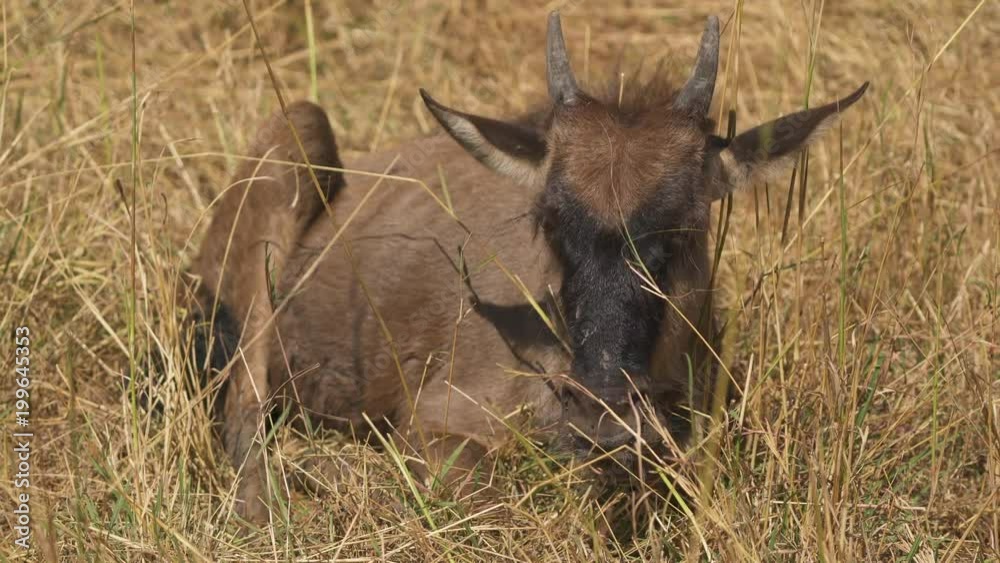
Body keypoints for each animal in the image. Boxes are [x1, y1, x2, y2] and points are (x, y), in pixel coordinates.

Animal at [185, 12, 867, 523]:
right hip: (293, 143)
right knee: (244, 419)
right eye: (549, 220)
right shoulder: (432, 425)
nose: (602, 415)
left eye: (685, 226)